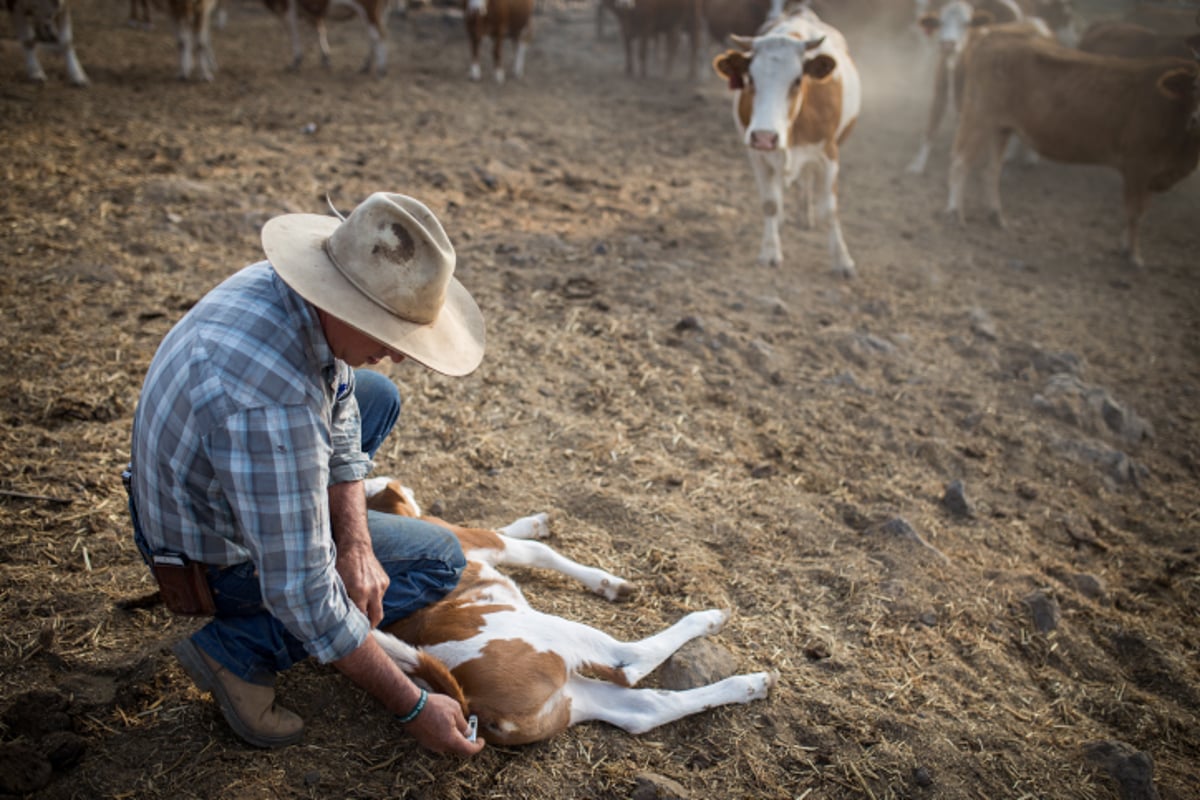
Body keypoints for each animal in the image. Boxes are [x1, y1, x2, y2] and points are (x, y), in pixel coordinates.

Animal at [362, 479, 777, 748]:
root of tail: (470, 701)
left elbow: (519, 537)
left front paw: (536, 521)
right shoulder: (468, 537)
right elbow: (536, 551)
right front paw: (608, 582)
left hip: (567, 700)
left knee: (646, 708)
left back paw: (752, 684)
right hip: (555, 637)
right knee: (630, 662)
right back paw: (710, 619)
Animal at [710, 6, 864, 277]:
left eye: (797, 80)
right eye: (750, 79)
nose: (764, 136)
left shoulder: (829, 154)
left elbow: (830, 209)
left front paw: (842, 259)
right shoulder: (757, 155)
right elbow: (770, 203)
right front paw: (770, 251)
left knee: (806, 179)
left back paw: (805, 215)